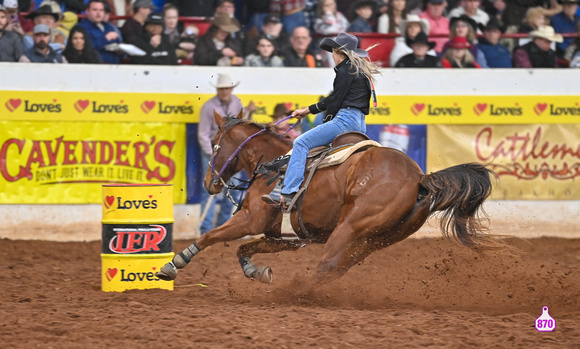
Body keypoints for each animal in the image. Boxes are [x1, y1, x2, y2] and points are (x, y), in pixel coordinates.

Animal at [156, 111, 496, 286]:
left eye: (214, 142)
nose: (208, 183)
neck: (272, 164)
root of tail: (419, 179)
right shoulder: (282, 235)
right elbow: (244, 248)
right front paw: (257, 271)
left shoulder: (250, 219)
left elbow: (211, 236)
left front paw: (172, 265)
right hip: (376, 240)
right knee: (337, 269)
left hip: (351, 226)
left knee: (327, 265)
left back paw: (294, 293)